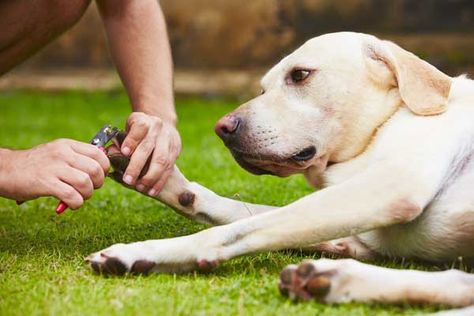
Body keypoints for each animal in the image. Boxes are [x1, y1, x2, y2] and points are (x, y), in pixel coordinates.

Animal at [87, 31, 474, 312]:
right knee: (457, 282)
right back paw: (330, 279)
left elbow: (230, 231)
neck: (383, 123)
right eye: (262, 88)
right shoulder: (357, 237)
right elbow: (233, 211)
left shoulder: (392, 186)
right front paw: (163, 177)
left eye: (300, 75)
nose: (222, 128)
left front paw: (143, 252)